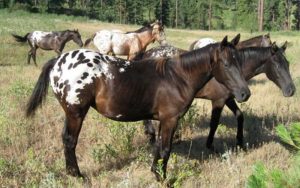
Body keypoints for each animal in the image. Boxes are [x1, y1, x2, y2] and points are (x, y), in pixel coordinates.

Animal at [25, 35, 251, 181]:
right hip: (76, 113)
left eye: (240, 61)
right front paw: (162, 178)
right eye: (226, 64)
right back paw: (77, 176)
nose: (244, 94)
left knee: (66, 139)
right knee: (70, 141)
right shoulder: (170, 119)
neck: (177, 78)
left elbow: (159, 146)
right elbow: (166, 149)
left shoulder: (163, 120)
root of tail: (58, 60)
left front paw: (155, 172)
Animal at [143, 40, 296, 150]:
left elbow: (240, 116)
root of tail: (148, 53)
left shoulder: (229, 99)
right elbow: (214, 123)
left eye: (288, 64)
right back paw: (151, 135)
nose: (291, 90)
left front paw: (239, 142)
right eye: (277, 66)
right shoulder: (219, 100)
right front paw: (210, 145)